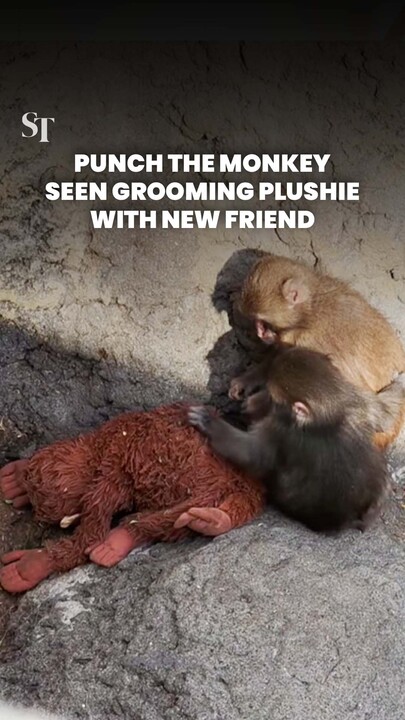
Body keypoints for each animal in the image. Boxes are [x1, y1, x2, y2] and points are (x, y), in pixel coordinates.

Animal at [189, 346, 405, 533]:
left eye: (272, 397)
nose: (253, 401)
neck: (332, 410)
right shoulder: (359, 400)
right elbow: (386, 412)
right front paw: (400, 380)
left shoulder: (280, 431)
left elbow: (252, 454)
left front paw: (209, 422)